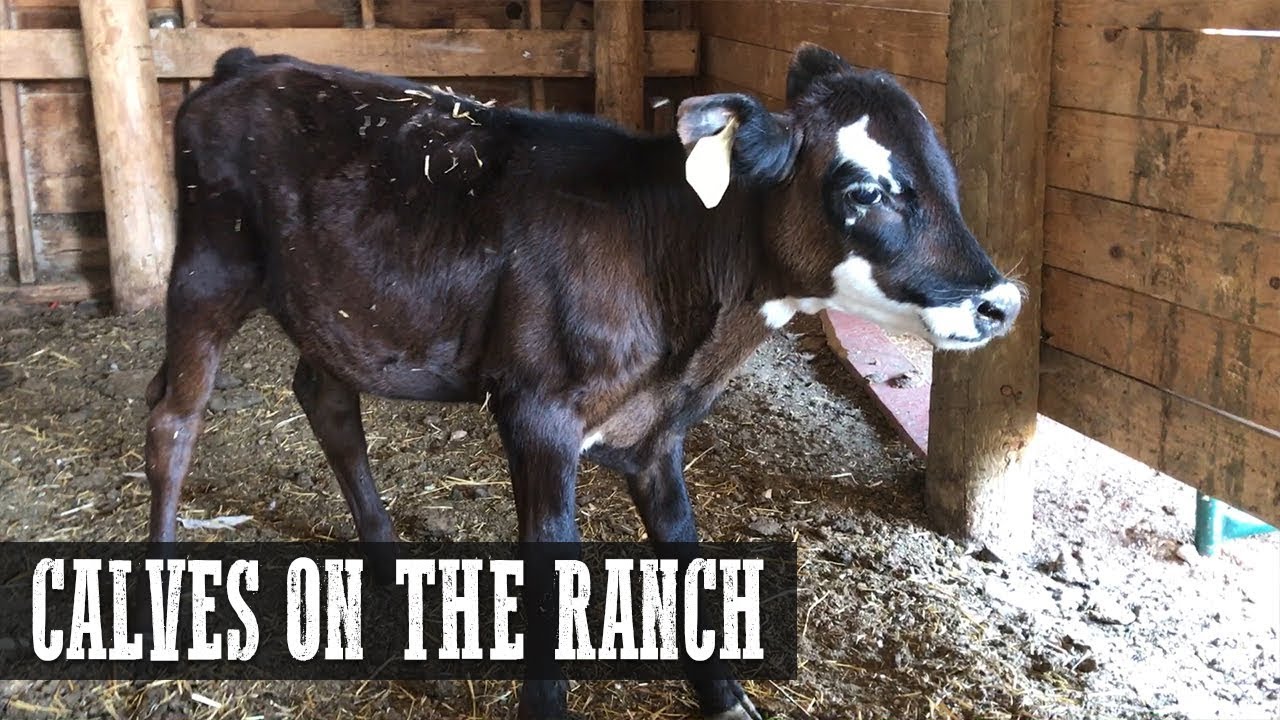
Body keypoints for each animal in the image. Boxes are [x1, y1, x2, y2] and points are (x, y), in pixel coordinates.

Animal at [143, 44, 1022, 719]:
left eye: (946, 177)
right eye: (864, 188)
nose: (1001, 302)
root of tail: (249, 62)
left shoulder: (657, 433)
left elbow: (685, 552)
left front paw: (726, 697)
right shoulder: (537, 416)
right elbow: (547, 564)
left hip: (334, 311)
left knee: (326, 402)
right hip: (208, 269)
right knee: (172, 420)